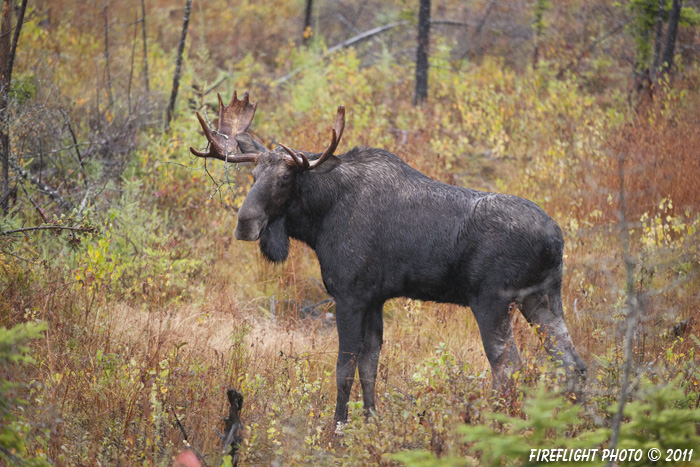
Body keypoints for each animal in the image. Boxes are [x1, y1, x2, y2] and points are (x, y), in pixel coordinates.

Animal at [190, 91, 584, 428]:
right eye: (253, 175)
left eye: (286, 178)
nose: (245, 223)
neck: (320, 218)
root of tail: (556, 240)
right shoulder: (375, 298)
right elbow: (370, 365)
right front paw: (371, 423)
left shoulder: (348, 296)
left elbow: (344, 367)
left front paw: (338, 429)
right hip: (542, 298)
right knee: (572, 365)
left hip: (494, 301)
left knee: (509, 370)